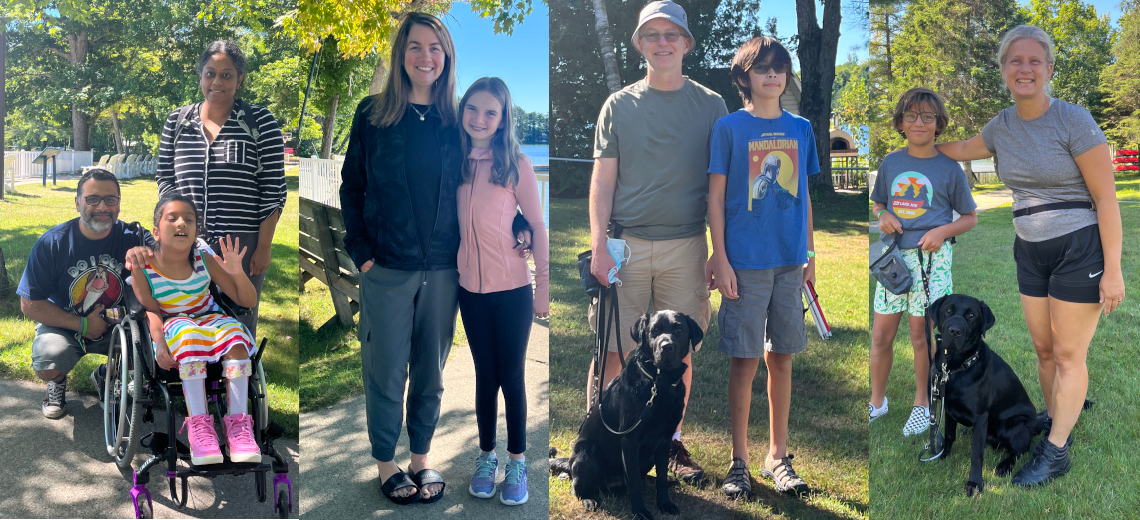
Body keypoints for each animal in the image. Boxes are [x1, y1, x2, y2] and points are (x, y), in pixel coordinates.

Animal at [549, 310, 697, 517]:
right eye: (655, 330)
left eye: (679, 330)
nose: (667, 347)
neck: (660, 384)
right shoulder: (629, 440)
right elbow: (634, 482)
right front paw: (640, 511)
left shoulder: (665, 440)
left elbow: (660, 476)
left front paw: (665, 503)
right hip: (587, 452)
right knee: (578, 487)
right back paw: (588, 499)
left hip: (648, 456)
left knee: (646, 478)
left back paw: (667, 480)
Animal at [930, 294, 1039, 497]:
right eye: (948, 310)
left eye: (971, 315)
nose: (954, 331)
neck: (955, 368)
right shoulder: (948, 408)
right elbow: (949, 435)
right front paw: (942, 455)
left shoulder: (980, 417)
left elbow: (976, 454)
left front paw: (974, 483)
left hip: (1013, 425)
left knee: (1020, 451)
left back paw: (1004, 466)